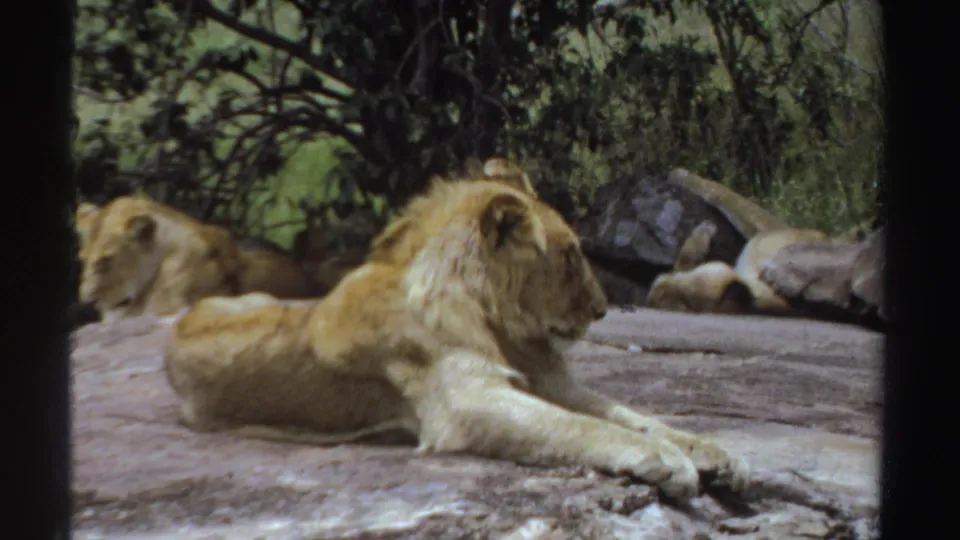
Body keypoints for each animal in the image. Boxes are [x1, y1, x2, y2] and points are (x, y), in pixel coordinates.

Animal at [164, 159, 749, 502]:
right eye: (567, 257)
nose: (604, 309)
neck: (496, 319)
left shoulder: (551, 383)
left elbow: (633, 415)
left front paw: (712, 452)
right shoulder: (467, 403)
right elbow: (585, 428)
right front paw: (667, 462)